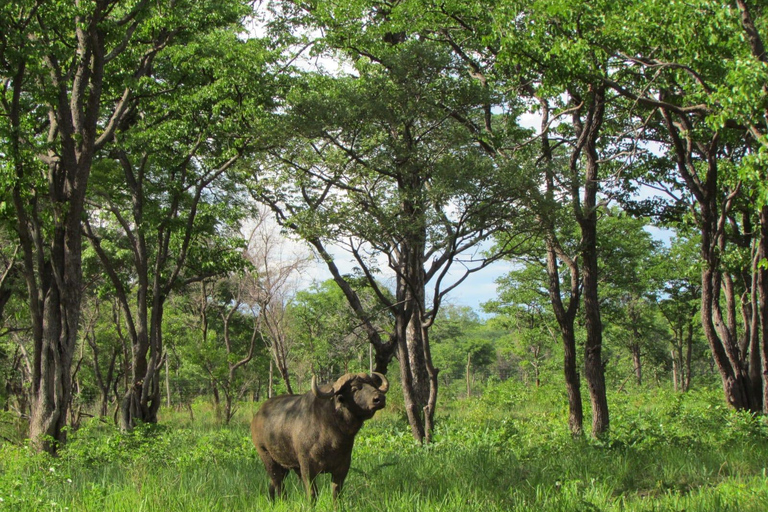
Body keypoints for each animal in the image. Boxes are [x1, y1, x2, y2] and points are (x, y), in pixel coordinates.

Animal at [250, 372, 388, 500]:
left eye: (372, 384)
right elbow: (312, 494)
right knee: (279, 485)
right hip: (267, 457)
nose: (379, 398)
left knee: (272, 484)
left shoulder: (342, 468)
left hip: (284, 466)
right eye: (354, 388)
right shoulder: (307, 469)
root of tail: (257, 416)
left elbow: (336, 493)